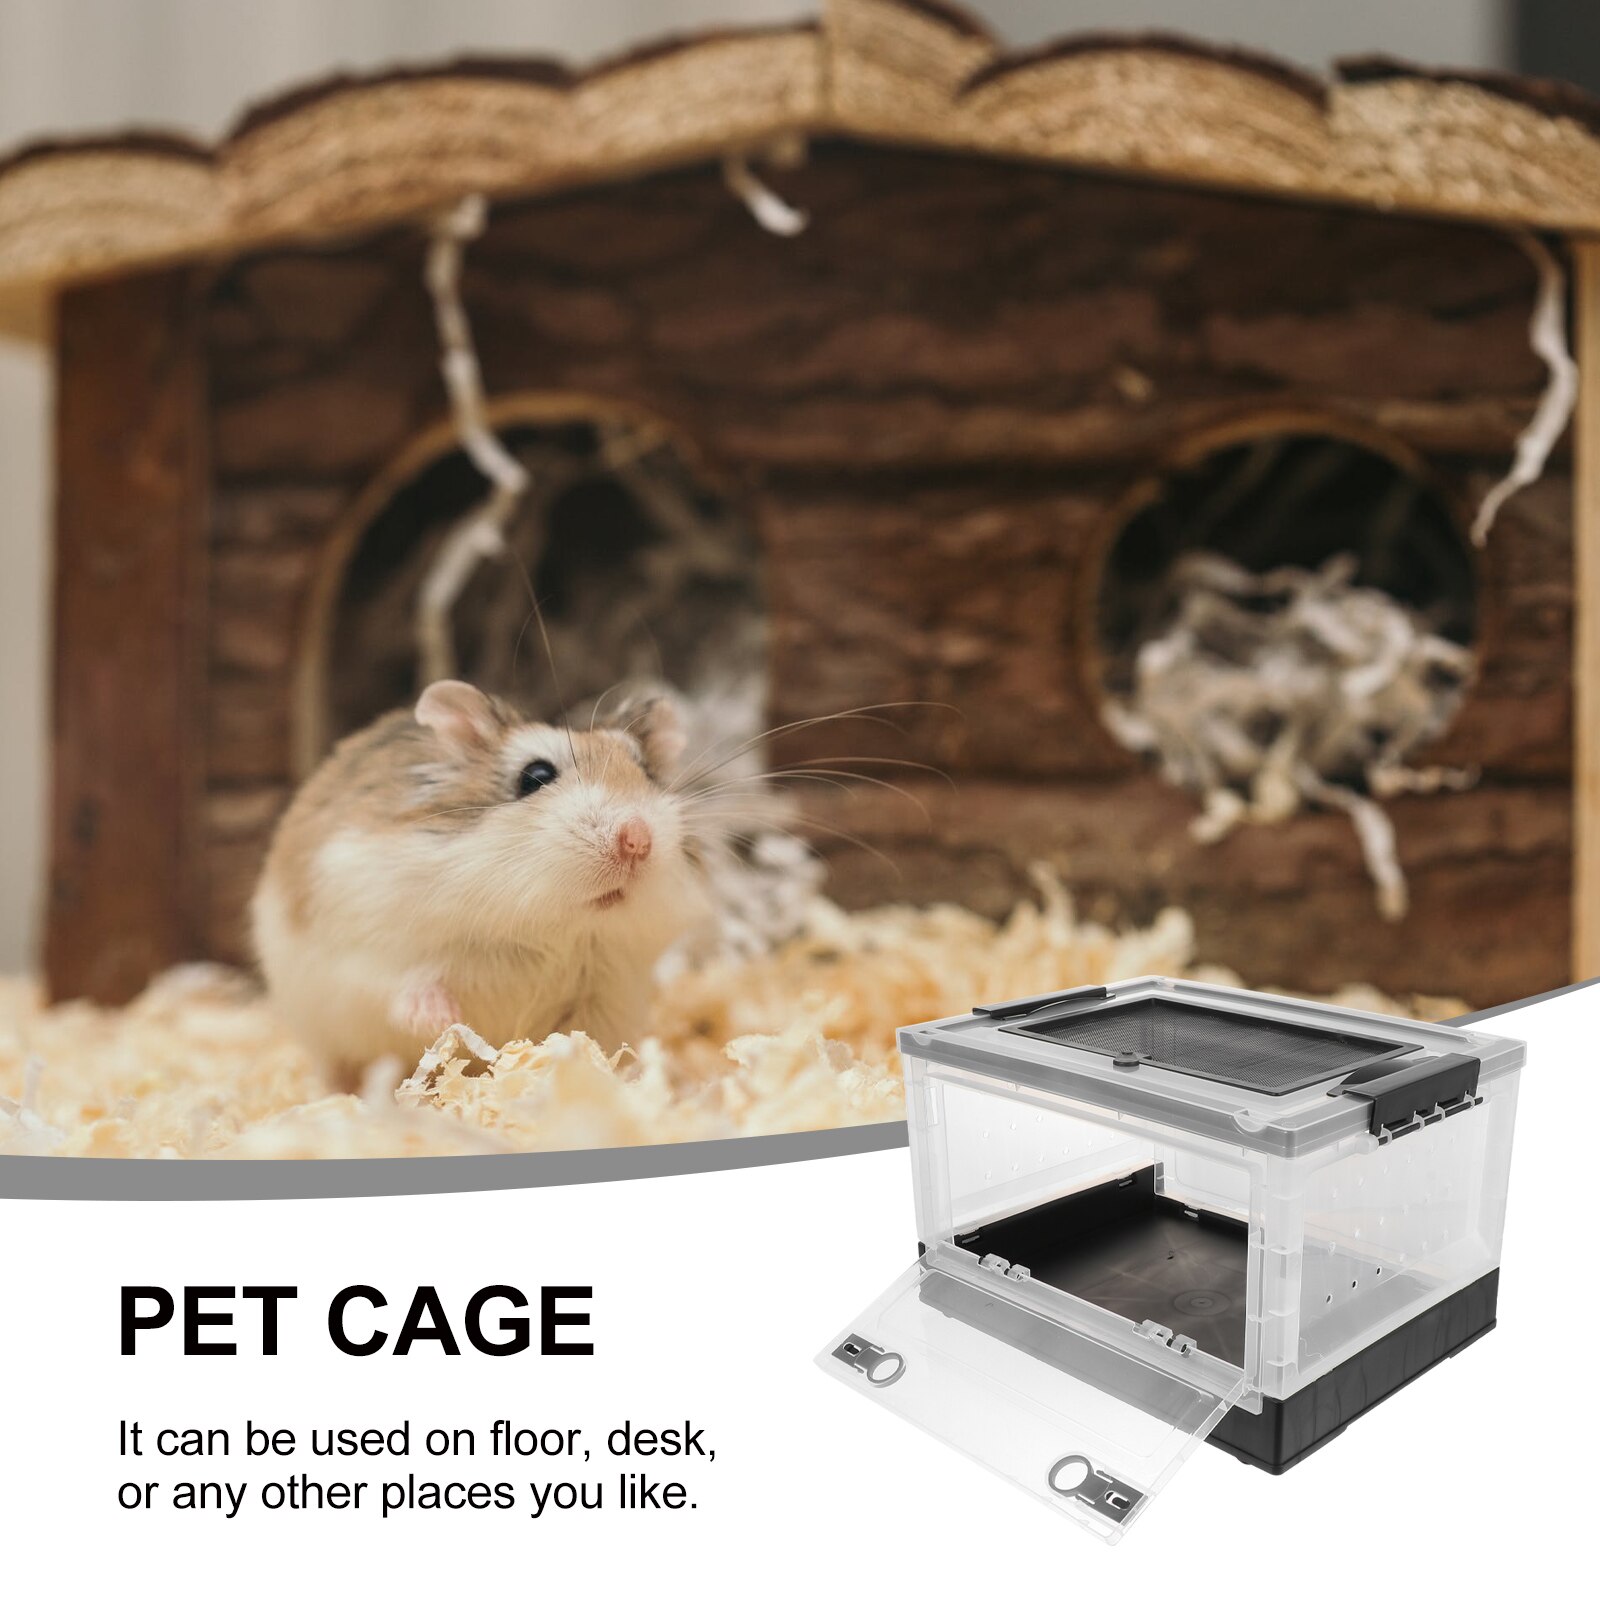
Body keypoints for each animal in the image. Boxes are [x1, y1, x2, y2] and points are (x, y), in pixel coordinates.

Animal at [251, 679, 705, 1079]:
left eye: (646, 773)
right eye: (535, 776)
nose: (638, 840)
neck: (551, 928)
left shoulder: (607, 994)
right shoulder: (368, 950)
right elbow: (403, 986)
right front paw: (443, 1020)